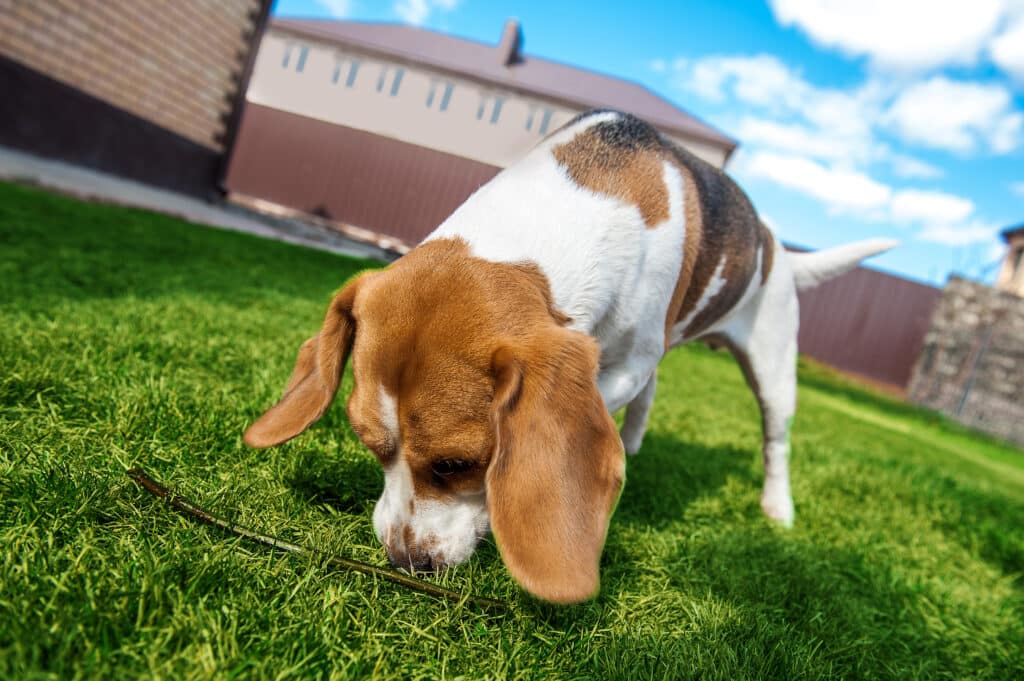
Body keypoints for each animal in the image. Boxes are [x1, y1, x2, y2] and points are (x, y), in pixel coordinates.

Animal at [245, 109, 897, 602]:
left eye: (458, 464)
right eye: (367, 442)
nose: (407, 563)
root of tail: (771, 242)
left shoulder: (623, 364)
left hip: (774, 365)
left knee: (775, 439)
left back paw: (775, 506)